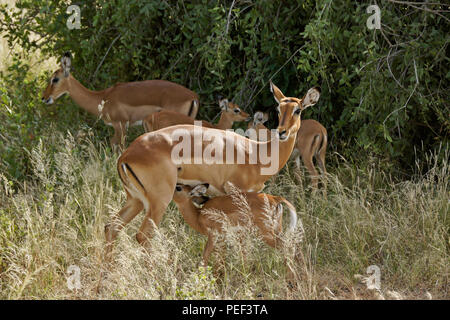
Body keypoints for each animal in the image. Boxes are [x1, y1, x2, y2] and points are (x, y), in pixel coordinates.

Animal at [104, 82, 320, 258]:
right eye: (279, 108)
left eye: (298, 109)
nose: (282, 132)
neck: (257, 153)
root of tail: (126, 156)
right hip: (158, 202)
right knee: (143, 236)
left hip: (136, 200)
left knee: (111, 227)